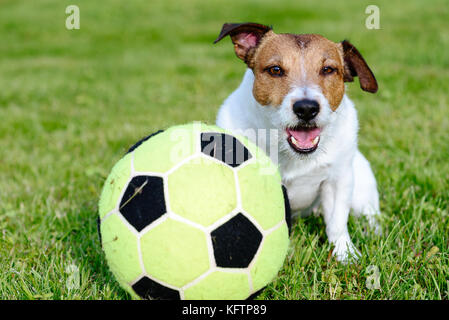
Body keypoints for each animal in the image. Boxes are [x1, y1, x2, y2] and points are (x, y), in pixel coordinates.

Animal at [214, 22, 378, 262]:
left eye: (328, 69)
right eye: (275, 70)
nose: (307, 108)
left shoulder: (338, 181)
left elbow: (337, 223)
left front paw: (345, 255)